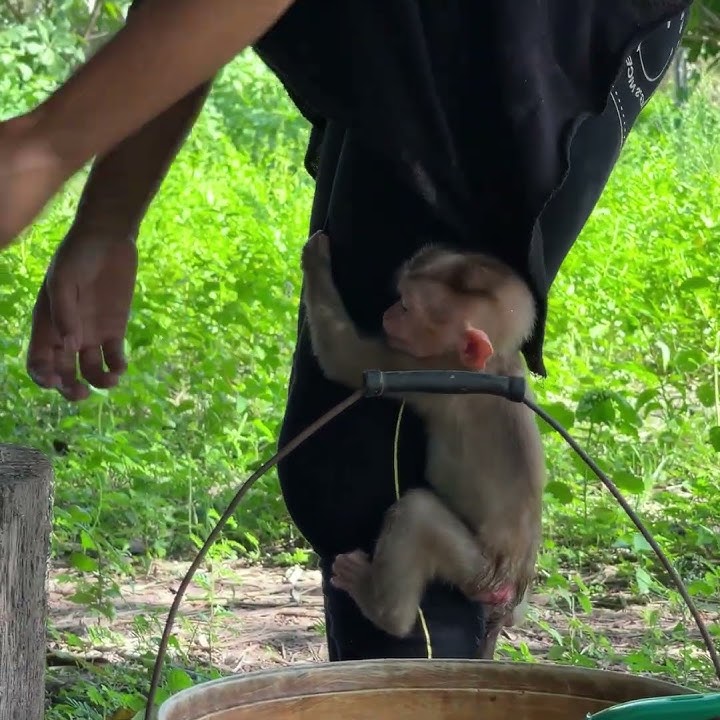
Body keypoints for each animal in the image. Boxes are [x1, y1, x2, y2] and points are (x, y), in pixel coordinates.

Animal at [300, 230, 546, 658]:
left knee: (416, 514)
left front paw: (315, 259)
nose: (388, 314)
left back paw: (381, 608)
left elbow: (344, 357)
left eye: (407, 306)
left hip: (477, 573)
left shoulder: (423, 368)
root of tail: (512, 584)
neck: (492, 364)